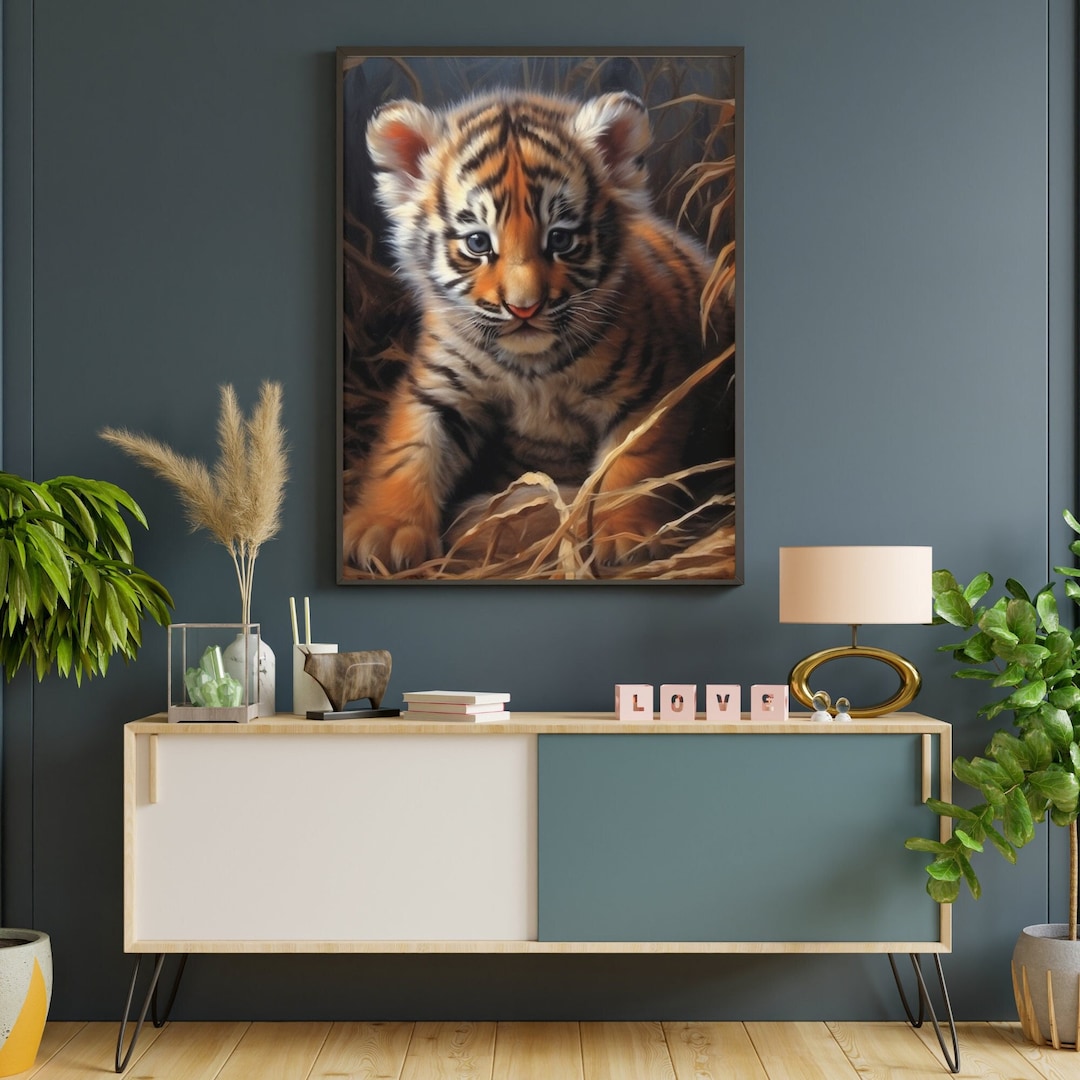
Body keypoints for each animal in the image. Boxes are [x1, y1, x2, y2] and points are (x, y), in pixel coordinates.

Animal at [342, 87, 731, 573]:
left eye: (561, 239)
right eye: (478, 243)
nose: (523, 307)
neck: (530, 366)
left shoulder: (649, 391)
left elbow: (633, 462)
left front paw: (625, 535)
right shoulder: (440, 388)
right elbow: (409, 449)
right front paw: (385, 530)